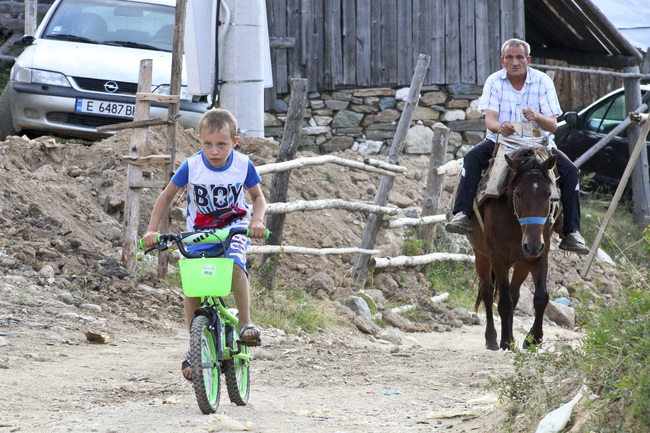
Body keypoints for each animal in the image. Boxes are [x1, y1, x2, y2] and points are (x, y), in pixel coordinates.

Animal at [466, 147, 556, 350]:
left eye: (548, 194)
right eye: (518, 194)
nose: (532, 245)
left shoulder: (540, 256)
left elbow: (541, 298)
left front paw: (534, 338)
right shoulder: (498, 259)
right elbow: (504, 302)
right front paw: (505, 341)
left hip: (522, 263)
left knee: (514, 294)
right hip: (482, 256)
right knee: (488, 292)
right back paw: (492, 339)